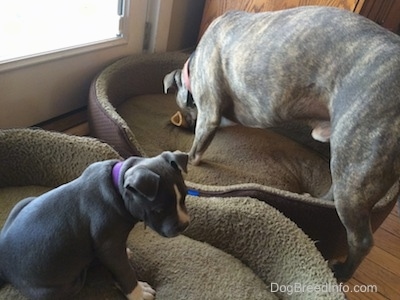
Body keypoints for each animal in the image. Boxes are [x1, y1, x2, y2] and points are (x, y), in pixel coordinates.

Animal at [0, 151, 189, 300]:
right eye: (158, 210)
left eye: (185, 197)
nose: (185, 225)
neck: (117, 188)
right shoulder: (109, 246)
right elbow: (125, 271)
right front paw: (138, 293)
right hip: (66, 286)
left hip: (24, 202)